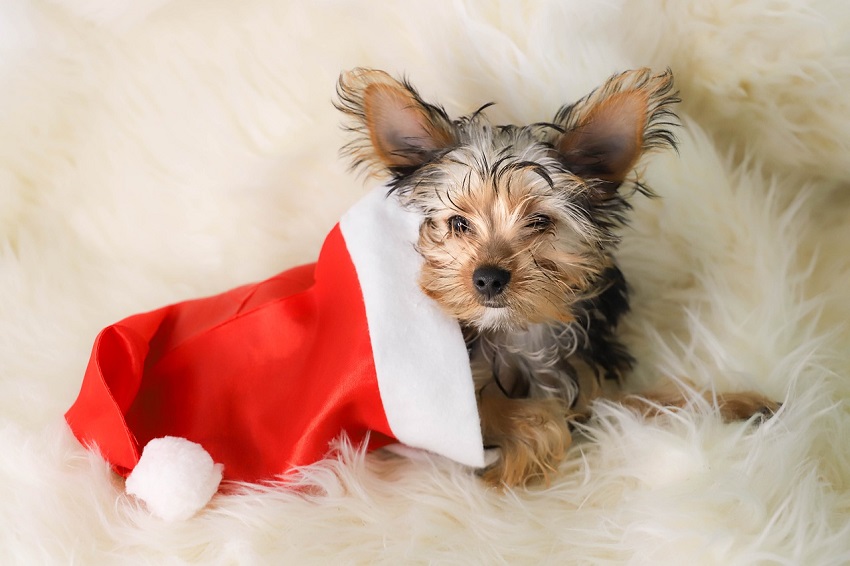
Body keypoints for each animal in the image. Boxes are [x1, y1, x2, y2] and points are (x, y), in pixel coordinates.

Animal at [332, 69, 776, 488]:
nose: (488, 277)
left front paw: (732, 403)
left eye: (540, 222)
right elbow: (503, 408)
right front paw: (521, 457)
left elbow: (644, 400)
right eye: (458, 223)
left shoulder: (588, 380)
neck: (517, 329)